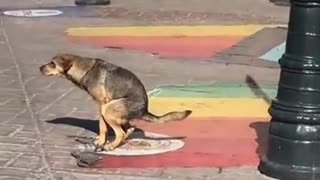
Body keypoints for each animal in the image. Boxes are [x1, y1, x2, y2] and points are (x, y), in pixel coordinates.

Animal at [38, 53, 191, 150]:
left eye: (52, 63)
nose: (39, 67)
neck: (86, 70)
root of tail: (144, 110)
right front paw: (100, 140)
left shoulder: (101, 103)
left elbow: (102, 125)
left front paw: (101, 140)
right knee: (129, 129)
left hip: (109, 108)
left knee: (121, 132)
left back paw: (110, 145)